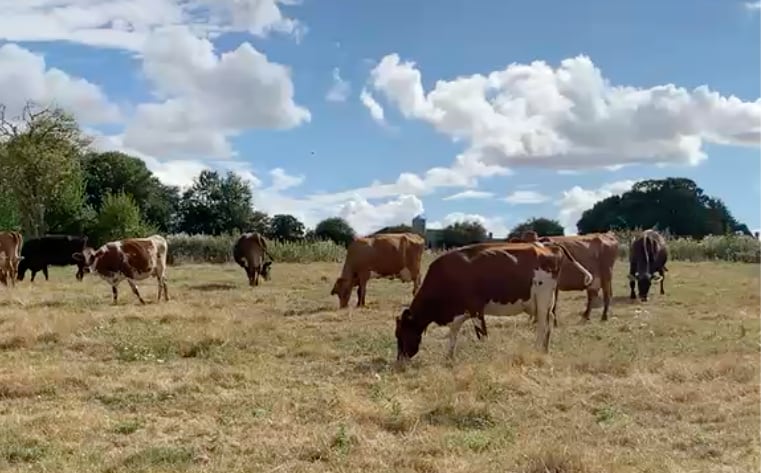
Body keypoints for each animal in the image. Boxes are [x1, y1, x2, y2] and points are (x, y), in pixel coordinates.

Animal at [394, 241, 594, 362]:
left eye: (401, 333)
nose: (400, 360)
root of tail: (546, 246)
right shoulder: (459, 313)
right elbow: (453, 334)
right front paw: (449, 357)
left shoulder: (476, 309)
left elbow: (482, 335)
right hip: (543, 301)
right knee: (550, 321)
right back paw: (544, 350)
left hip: (543, 298)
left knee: (543, 325)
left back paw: (536, 349)